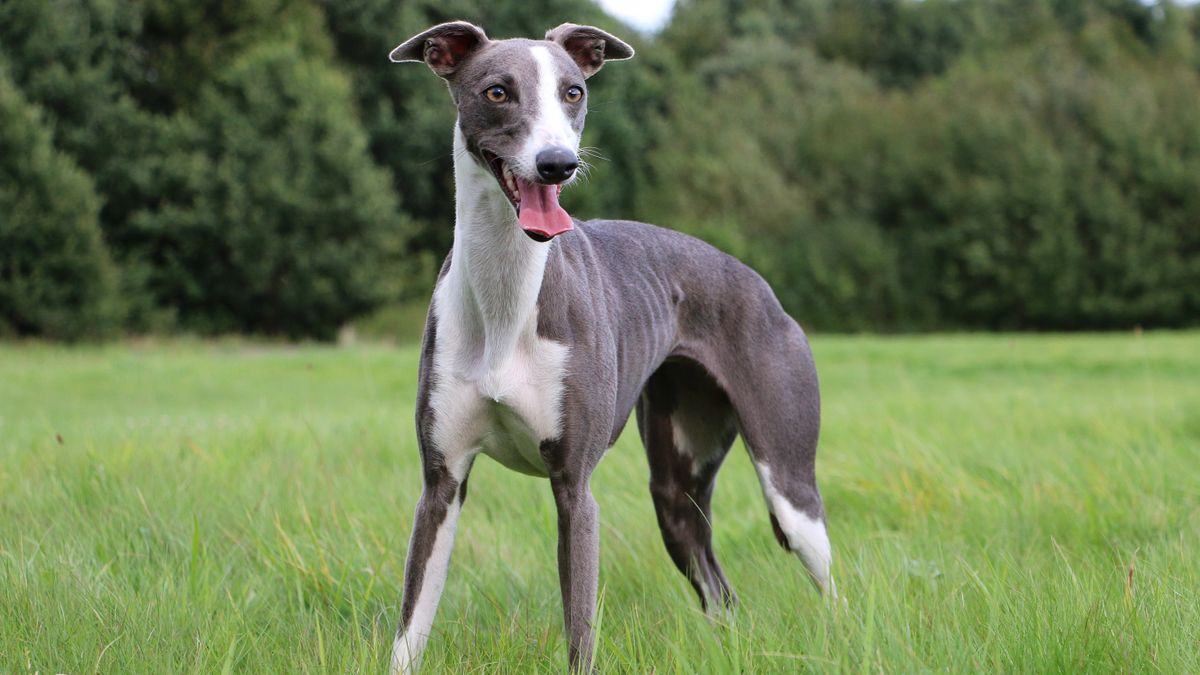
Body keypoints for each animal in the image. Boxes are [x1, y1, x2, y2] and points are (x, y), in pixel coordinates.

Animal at [386, 19, 835, 667]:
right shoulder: (440, 484)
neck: (506, 300)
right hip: (677, 496)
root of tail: (758, 283)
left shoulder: (575, 488)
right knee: (720, 593)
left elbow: (580, 630)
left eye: (573, 91)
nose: (557, 164)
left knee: (827, 583)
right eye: (497, 91)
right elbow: (410, 628)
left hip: (789, 480)